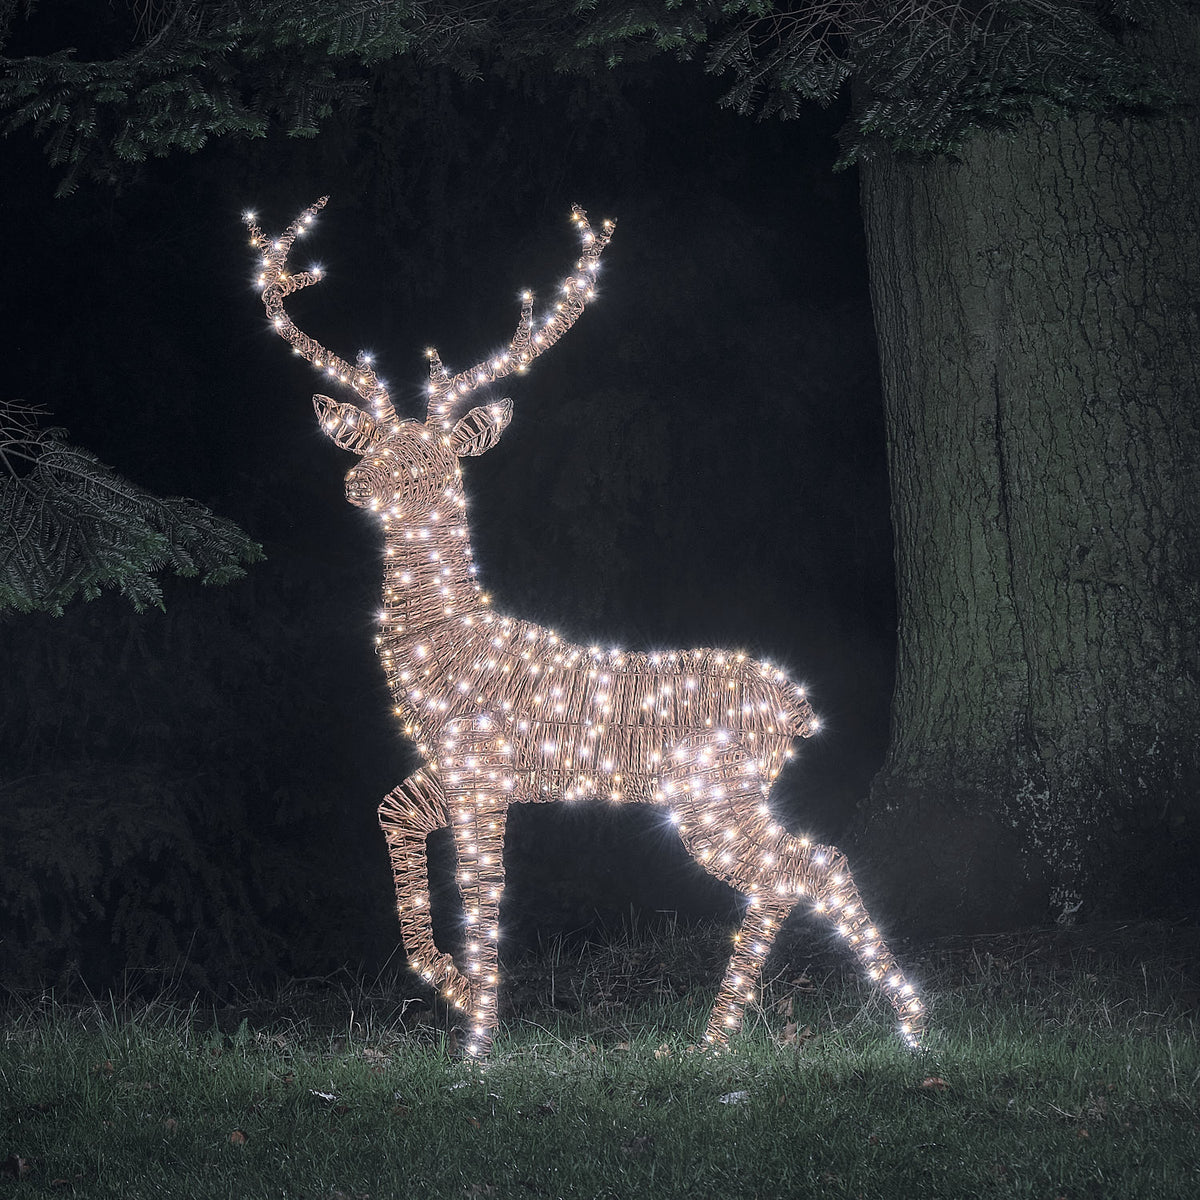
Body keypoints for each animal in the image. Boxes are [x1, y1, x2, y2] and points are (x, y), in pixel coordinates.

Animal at [245, 198, 926, 1056]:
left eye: (433, 459)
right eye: (377, 443)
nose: (358, 482)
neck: (448, 644)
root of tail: (796, 707)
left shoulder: (482, 767)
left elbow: (485, 889)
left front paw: (480, 1042)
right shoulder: (451, 769)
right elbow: (390, 815)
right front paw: (456, 989)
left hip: (714, 792)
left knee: (805, 865)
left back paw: (863, 1023)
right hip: (723, 795)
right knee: (805, 866)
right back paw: (757, 1032)